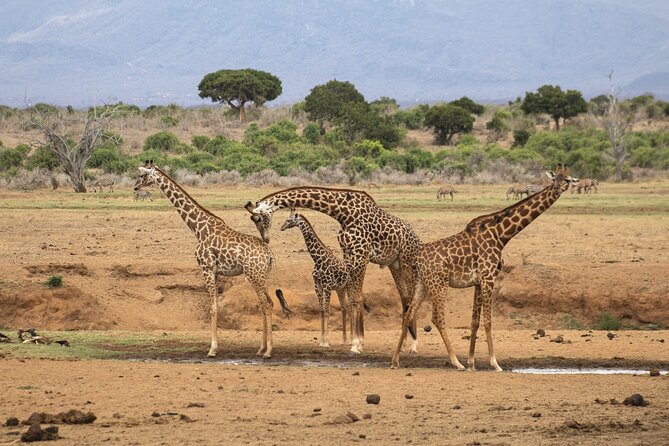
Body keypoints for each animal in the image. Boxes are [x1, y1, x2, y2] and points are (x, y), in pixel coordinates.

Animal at [134, 160, 292, 358]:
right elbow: (215, 305)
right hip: (263, 275)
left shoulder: (206, 268)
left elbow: (212, 307)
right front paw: (215, 347)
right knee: (264, 305)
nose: (135, 186)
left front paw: (212, 349)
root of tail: (269, 254)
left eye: (141, 175)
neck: (198, 228)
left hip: (254, 275)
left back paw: (268, 351)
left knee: (268, 304)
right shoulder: (216, 272)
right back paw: (261, 348)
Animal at [280, 210, 354, 348]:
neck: (318, 259)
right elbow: (321, 311)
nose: (281, 227)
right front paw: (321, 340)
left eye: (288, 220)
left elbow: (327, 311)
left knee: (351, 307)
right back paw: (343, 340)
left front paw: (327, 342)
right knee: (344, 308)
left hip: (349, 286)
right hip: (340, 289)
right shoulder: (318, 287)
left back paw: (352, 339)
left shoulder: (327, 286)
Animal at [392, 166, 580, 372]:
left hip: (422, 284)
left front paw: (472, 362)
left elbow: (474, 321)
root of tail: (417, 259)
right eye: (555, 179)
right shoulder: (489, 277)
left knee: (408, 314)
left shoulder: (478, 282)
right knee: (437, 318)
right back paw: (456, 362)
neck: (501, 235)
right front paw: (494, 363)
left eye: (568, 179)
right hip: (438, 284)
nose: (560, 187)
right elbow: (488, 321)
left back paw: (395, 360)